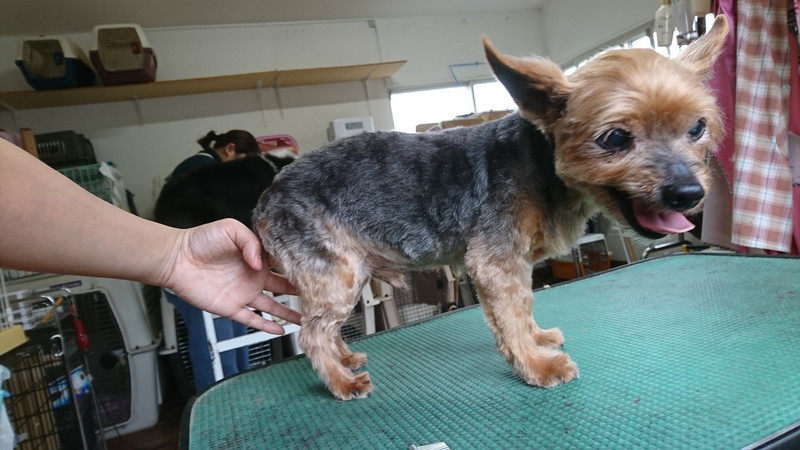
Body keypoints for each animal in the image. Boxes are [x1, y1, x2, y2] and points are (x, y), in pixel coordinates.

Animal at [253, 16, 729, 400]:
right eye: (614, 138)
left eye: (697, 127)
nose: (688, 193)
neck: (540, 164)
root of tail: (267, 197)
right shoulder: (494, 261)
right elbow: (510, 316)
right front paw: (537, 366)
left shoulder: (517, 262)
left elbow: (523, 306)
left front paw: (538, 339)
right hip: (337, 273)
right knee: (312, 333)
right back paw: (340, 381)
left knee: (324, 327)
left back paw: (346, 360)